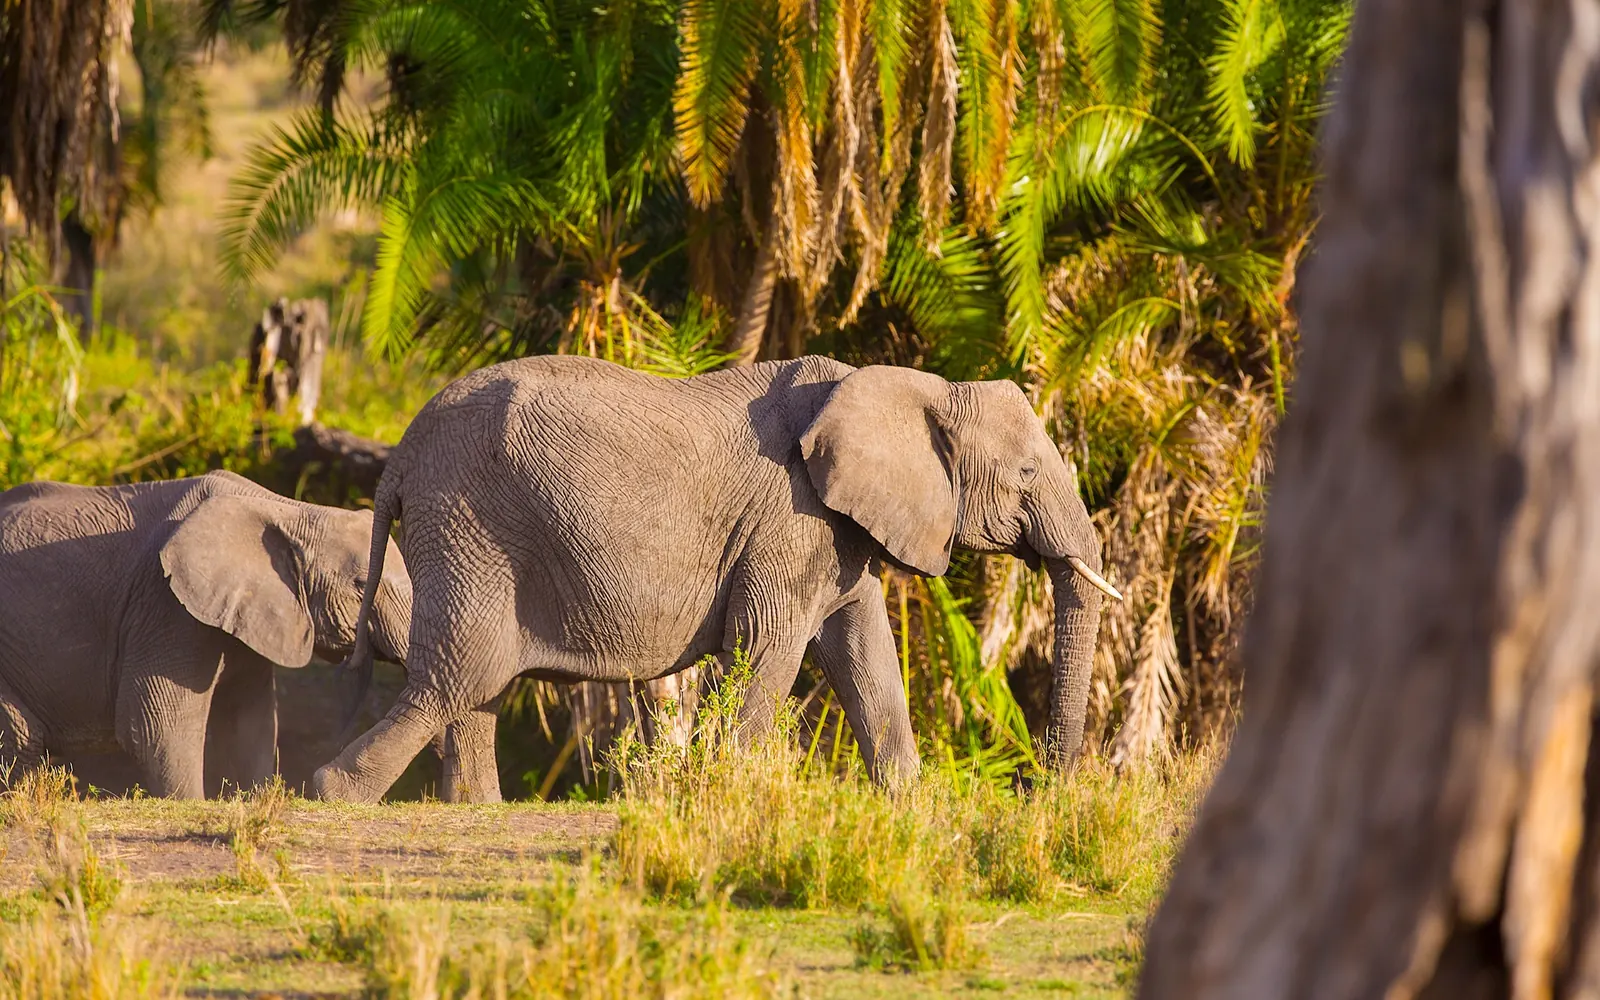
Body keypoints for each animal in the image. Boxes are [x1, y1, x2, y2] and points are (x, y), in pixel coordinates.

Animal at [0, 470, 412, 798]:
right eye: (361, 585)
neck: (286, 510)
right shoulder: (164, 603)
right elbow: (155, 727)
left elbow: (251, 726)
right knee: (22, 739)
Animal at [316, 355, 1120, 803]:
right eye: (1026, 473)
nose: (1039, 787)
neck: (914, 387)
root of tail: (397, 461)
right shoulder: (790, 517)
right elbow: (768, 645)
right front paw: (715, 792)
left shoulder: (838, 527)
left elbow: (864, 650)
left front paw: (907, 805)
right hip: (469, 521)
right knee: (458, 676)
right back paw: (334, 793)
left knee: (475, 686)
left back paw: (475, 810)